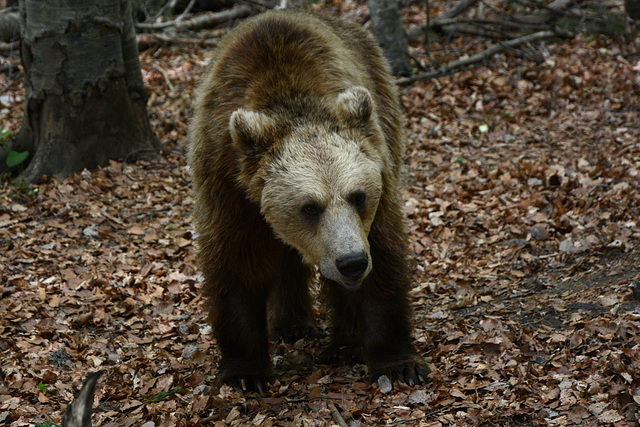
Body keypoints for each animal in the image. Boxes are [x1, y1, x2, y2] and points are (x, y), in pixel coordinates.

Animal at [190, 8, 430, 392]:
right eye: (309, 207)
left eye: (358, 195)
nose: (352, 262)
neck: (291, 102)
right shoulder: (228, 182)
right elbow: (237, 263)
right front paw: (245, 372)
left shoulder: (377, 175)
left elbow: (383, 255)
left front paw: (398, 363)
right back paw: (291, 324)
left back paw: (344, 344)